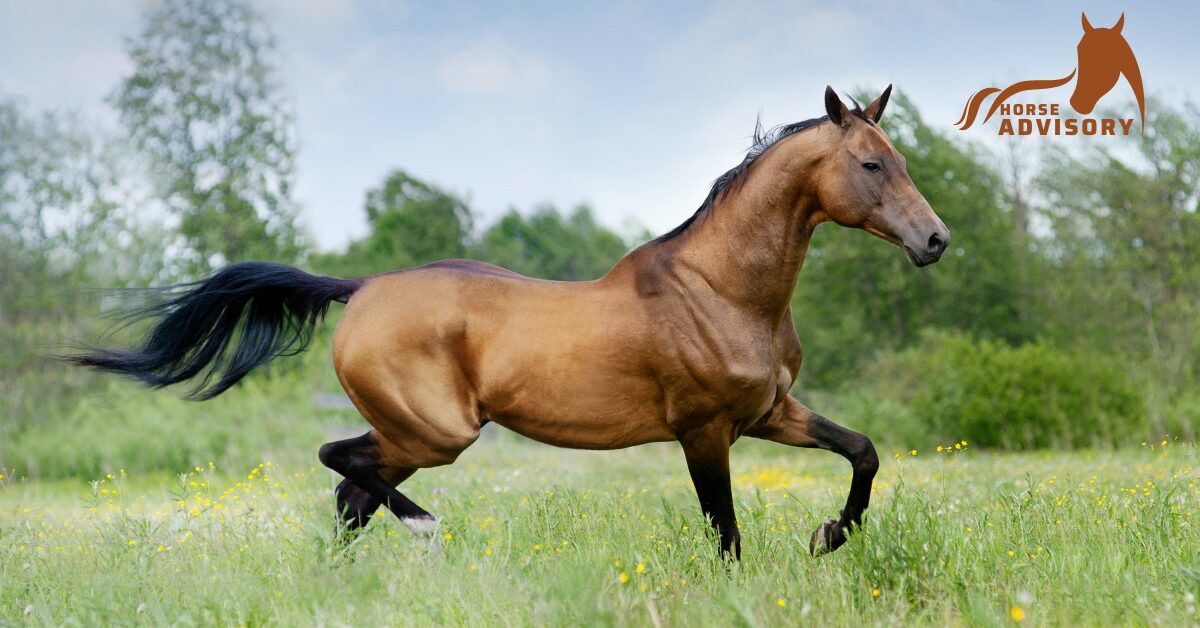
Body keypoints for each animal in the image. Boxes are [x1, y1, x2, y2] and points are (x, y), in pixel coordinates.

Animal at [70, 84, 950, 559]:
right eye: (871, 164)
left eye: (901, 159)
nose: (935, 241)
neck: (723, 291)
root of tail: (361, 288)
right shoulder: (704, 432)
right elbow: (726, 532)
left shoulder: (768, 413)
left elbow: (863, 453)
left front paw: (829, 535)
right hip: (435, 432)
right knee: (339, 464)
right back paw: (427, 531)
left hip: (415, 437)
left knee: (349, 495)